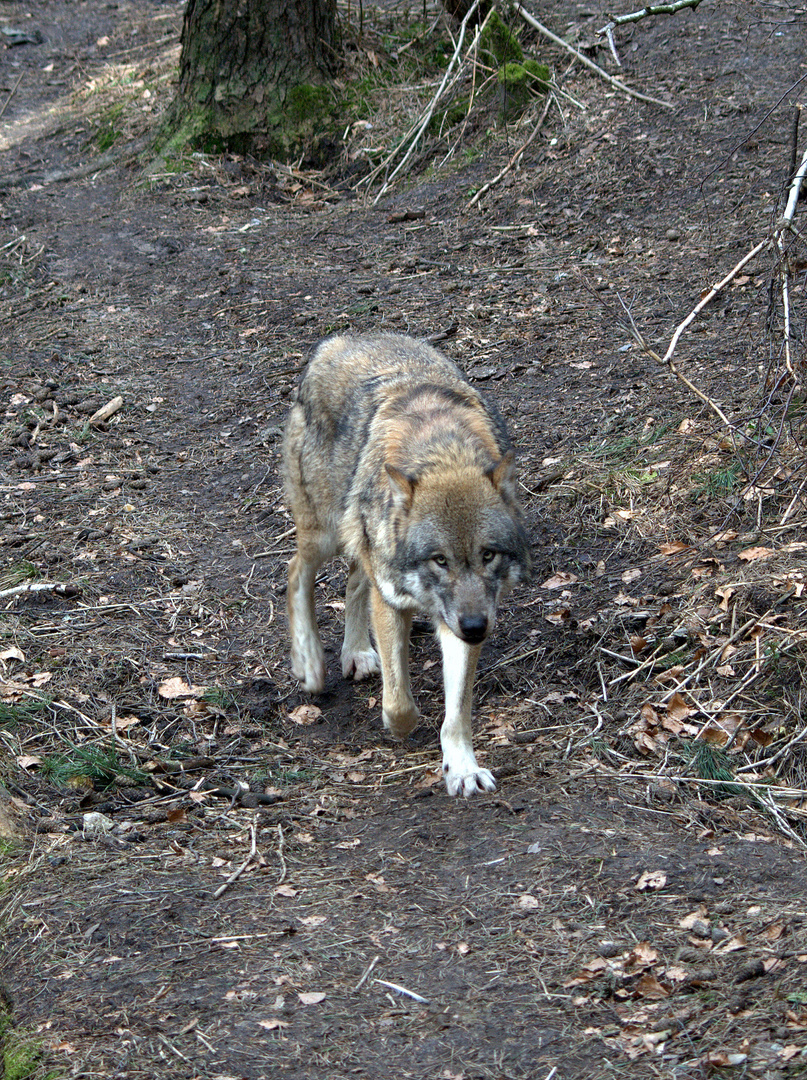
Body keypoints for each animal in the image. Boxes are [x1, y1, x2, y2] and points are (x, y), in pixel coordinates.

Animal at [280, 332, 533, 799]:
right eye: (440, 560)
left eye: (488, 555)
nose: (476, 628)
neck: (442, 452)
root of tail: (337, 340)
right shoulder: (394, 601)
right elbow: (399, 702)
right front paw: (400, 726)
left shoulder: (460, 619)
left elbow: (457, 714)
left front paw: (463, 769)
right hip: (324, 533)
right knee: (295, 575)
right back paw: (309, 663)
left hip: (361, 542)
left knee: (353, 582)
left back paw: (357, 653)